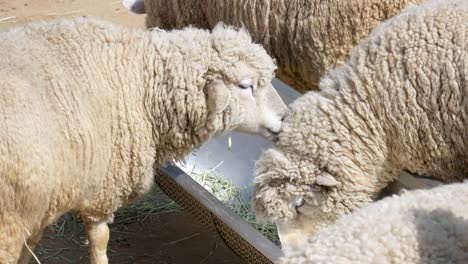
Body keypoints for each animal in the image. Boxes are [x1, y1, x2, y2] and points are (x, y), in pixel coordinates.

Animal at [0, 17, 288, 262]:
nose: (286, 117)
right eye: (245, 85)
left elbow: (31, 245)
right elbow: (99, 239)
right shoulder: (104, 186)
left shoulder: (42, 203)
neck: (140, 80)